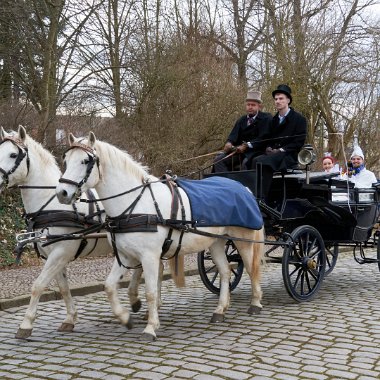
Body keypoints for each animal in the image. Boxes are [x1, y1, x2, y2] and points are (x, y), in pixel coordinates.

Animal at [0, 127, 145, 338]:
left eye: (12, 155)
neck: (50, 204)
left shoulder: (61, 252)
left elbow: (38, 285)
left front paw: (26, 324)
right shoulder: (52, 256)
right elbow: (63, 287)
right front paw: (70, 318)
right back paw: (136, 300)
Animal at [56, 132, 266, 340]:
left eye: (85, 161)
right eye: (66, 160)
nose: (62, 193)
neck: (136, 203)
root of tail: (243, 188)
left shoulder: (149, 256)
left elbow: (150, 292)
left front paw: (150, 327)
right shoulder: (125, 255)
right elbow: (108, 286)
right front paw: (125, 317)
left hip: (243, 240)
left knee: (251, 268)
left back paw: (255, 303)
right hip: (215, 242)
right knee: (224, 271)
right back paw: (220, 310)